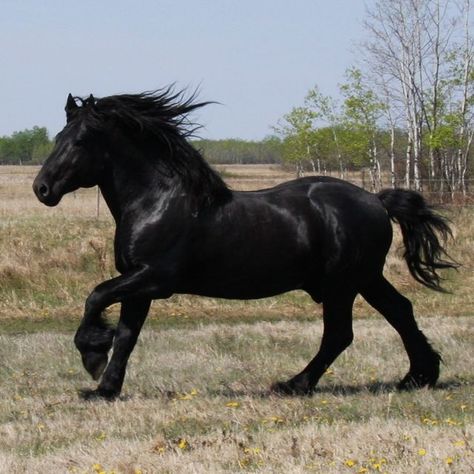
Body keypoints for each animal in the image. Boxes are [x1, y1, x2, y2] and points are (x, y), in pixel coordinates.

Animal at [33, 89, 456, 400]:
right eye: (57, 138)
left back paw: (293, 384)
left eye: (80, 141)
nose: (42, 189)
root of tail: (377, 200)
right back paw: (417, 377)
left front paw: (92, 353)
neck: (157, 201)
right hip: (365, 278)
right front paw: (104, 387)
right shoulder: (138, 283)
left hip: (343, 284)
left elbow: (96, 296)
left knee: (340, 333)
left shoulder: (154, 278)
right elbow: (126, 336)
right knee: (400, 311)